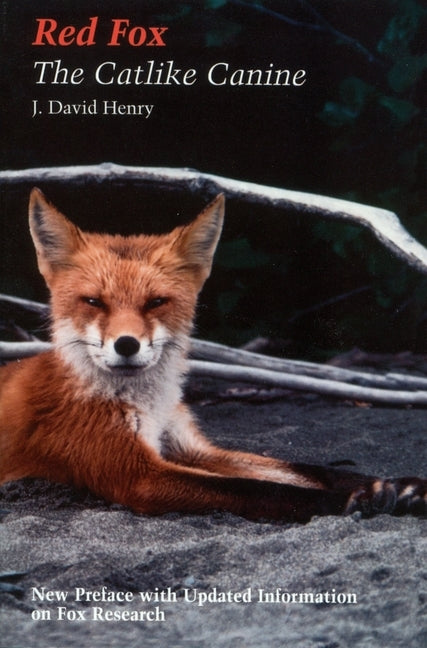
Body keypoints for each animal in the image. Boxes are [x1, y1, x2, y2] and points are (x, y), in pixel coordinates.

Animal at [0, 188, 425, 522]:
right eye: (93, 302)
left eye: (156, 302)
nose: (127, 345)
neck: (147, 406)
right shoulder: (138, 474)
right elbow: (259, 489)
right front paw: (346, 499)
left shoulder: (188, 447)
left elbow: (301, 468)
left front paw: (393, 485)